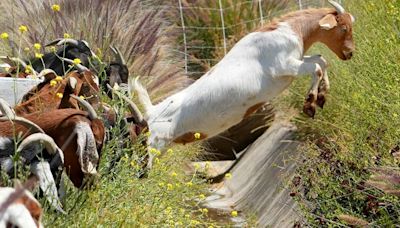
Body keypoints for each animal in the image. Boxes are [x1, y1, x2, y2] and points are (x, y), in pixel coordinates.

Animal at [132, 0, 356, 167]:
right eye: (344, 28)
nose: (350, 53)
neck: (289, 30)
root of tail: (150, 113)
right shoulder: (285, 66)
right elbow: (316, 67)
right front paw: (310, 105)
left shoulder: (297, 61)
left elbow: (321, 60)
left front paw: (322, 97)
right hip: (153, 147)